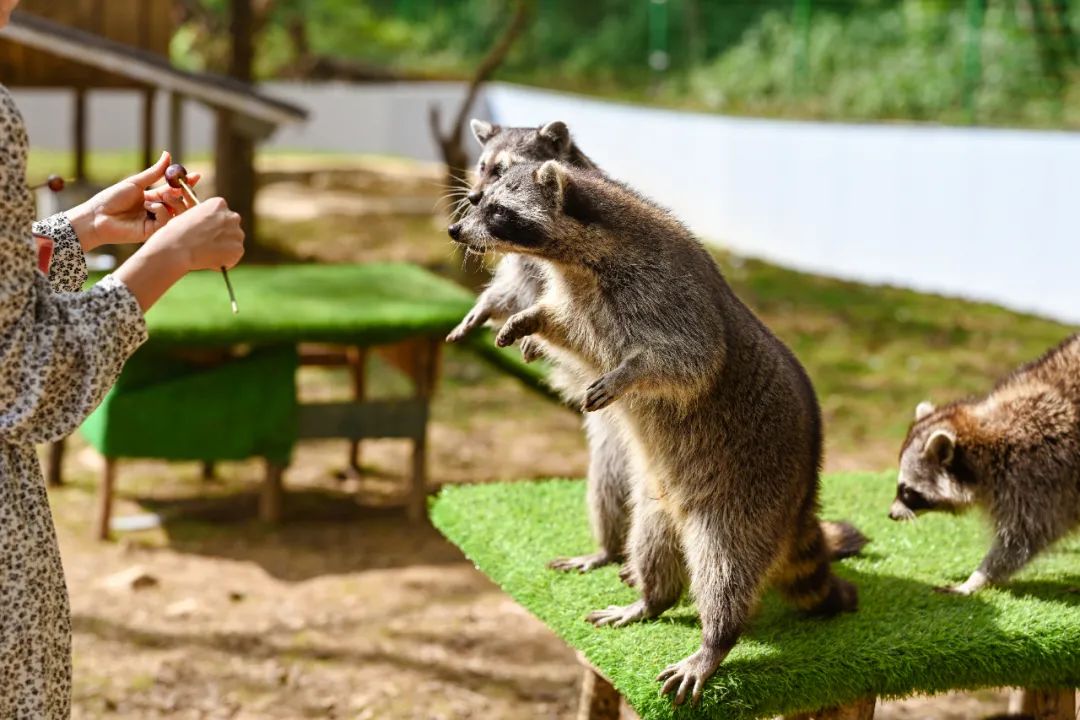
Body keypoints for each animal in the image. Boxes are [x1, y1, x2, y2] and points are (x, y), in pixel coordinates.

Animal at [444, 120, 630, 578]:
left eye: (502, 171)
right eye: (481, 166)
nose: (472, 198)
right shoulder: (516, 263)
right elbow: (508, 295)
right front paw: (482, 310)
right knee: (607, 490)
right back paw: (608, 545)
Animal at [447, 161, 859, 703]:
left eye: (496, 211)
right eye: (477, 200)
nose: (454, 230)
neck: (577, 258)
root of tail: (803, 498)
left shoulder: (667, 294)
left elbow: (688, 361)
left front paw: (629, 374)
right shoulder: (584, 303)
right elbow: (567, 328)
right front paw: (528, 318)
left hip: (747, 499)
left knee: (725, 568)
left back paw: (716, 639)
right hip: (661, 500)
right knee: (652, 542)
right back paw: (652, 598)